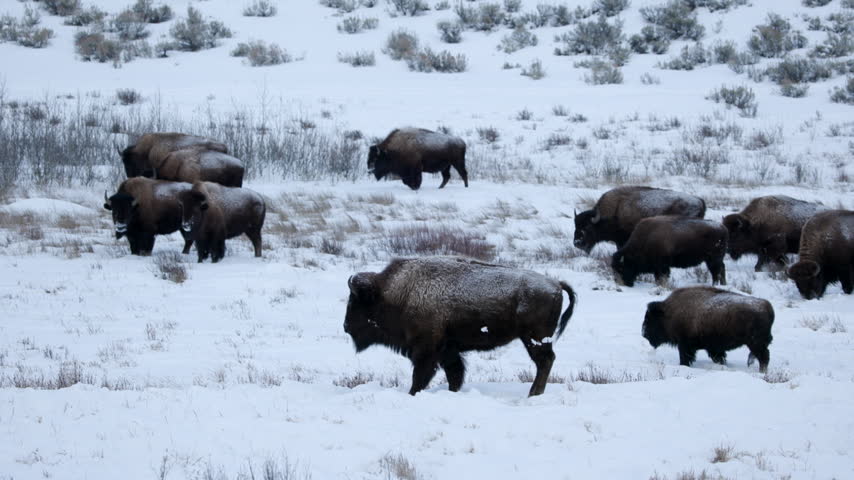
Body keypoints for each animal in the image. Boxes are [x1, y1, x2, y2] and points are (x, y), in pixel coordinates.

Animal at [344, 256, 576, 396]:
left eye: (356, 302)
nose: (346, 326)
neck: (396, 293)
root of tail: (556, 284)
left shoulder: (426, 351)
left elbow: (420, 376)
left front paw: (412, 394)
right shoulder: (448, 351)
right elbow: (454, 374)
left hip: (534, 338)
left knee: (545, 361)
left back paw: (533, 394)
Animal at [643, 287, 774, 372]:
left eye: (650, 319)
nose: (644, 333)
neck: (669, 313)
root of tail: (766, 306)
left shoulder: (684, 345)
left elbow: (685, 358)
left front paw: (683, 366)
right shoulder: (714, 348)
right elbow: (719, 357)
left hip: (755, 343)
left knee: (764, 357)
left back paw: (762, 372)